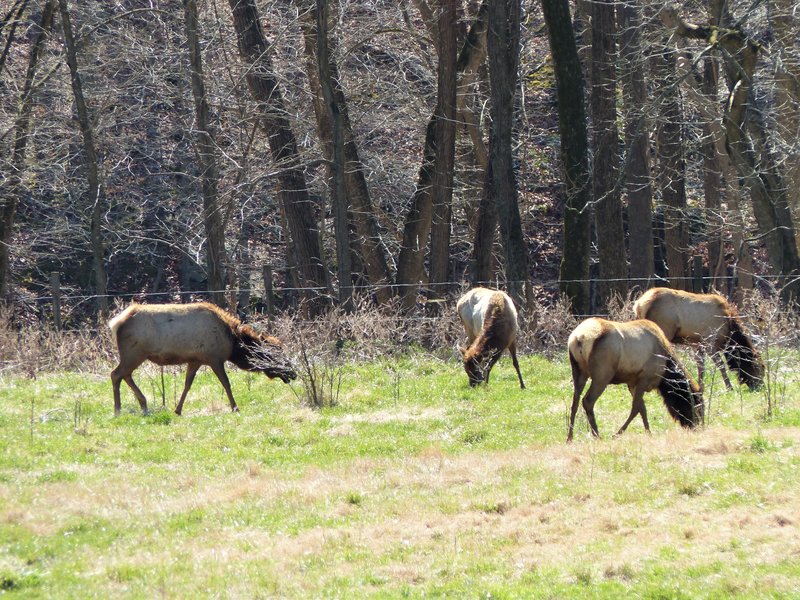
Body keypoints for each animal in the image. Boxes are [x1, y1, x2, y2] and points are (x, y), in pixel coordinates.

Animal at [106, 302, 294, 414]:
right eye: (274, 354)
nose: (293, 373)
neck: (233, 343)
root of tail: (116, 323)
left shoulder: (195, 360)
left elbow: (187, 384)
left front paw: (178, 409)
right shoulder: (214, 358)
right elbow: (226, 383)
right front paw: (235, 407)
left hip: (134, 355)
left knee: (125, 375)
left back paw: (143, 404)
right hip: (134, 353)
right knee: (116, 374)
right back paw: (118, 409)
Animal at [564, 318, 704, 440]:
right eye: (697, 407)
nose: (696, 427)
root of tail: (578, 338)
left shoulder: (632, 383)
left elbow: (642, 408)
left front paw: (649, 433)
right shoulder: (644, 378)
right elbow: (636, 408)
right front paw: (617, 434)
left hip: (578, 371)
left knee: (574, 402)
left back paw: (570, 437)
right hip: (602, 375)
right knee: (587, 401)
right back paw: (597, 436)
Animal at [632, 288, 764, 392]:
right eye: (759, 367)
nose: (760, 386)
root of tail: (638, 305)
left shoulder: (697, 344)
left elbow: (701, 366)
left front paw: (701, 388)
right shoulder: (709, 341)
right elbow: (720, 365)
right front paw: (729, 387)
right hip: (664, 331)